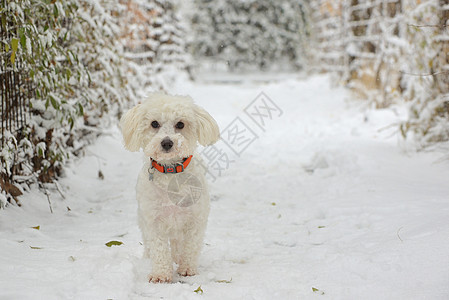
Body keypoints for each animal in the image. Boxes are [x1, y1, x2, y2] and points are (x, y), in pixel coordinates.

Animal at [118, 94, 218, 284]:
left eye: (180, 124)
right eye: (154, 123)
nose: (167, 143)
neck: (170, 172)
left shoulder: (195, 218)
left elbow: (190, 246)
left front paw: (187, 269)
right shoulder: (154, 220)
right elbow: (159, 249)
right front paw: (161, 275)